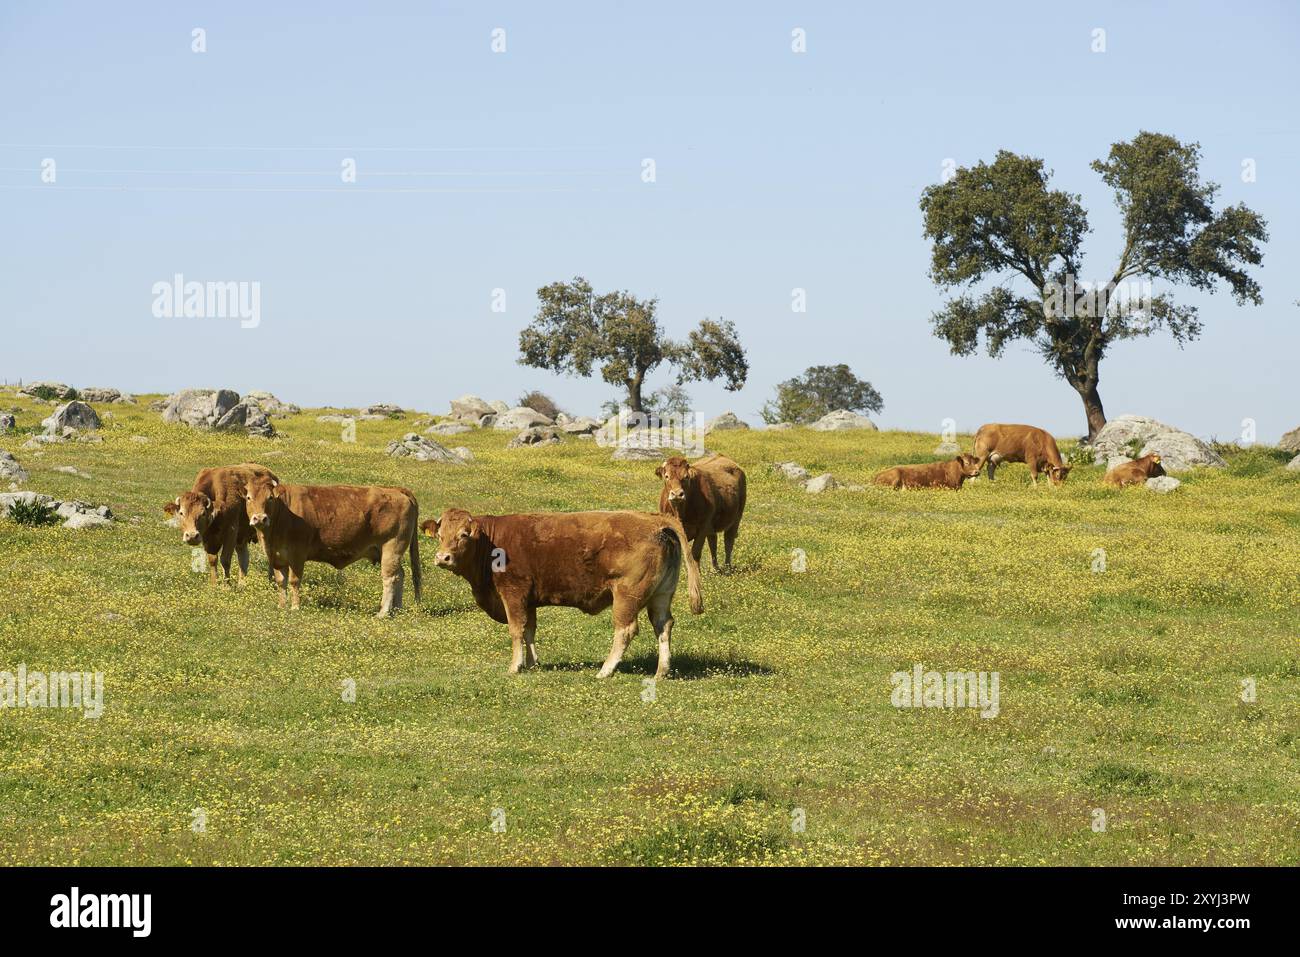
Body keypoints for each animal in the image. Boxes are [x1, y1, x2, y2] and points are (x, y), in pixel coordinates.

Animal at [243, 477, 421, 616]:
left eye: (270, 498)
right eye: (249, 498)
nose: (260, 518)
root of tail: (395, 490)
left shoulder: (297, 554)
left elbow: (294, 581)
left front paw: (295, 607)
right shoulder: (278, 557)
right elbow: (281, 581)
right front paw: (282, 606)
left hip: (393, 546)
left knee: (390, 577)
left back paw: (383, 613)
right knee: (400, 574)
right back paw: (396, 609)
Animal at [422, 509, 702, 678]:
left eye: (464, 535)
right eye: (439, 535)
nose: (442, 558)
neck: (491, 543)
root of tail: (654, 520)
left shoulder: (513, 593)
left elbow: (516, 630)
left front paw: (515, 666)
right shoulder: (529, 600)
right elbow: (529, 630)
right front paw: (533, 663)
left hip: (626, 596)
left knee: (625, 630)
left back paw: (605, 670)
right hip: (661, 595)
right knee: (663, 626)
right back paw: (661, 671)